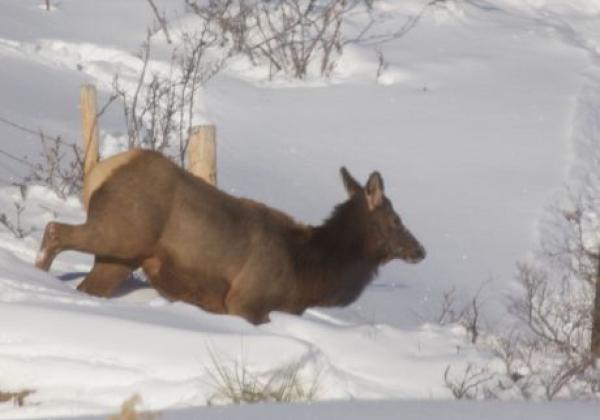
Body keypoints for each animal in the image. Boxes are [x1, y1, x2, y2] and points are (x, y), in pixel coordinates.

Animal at [35, 151, 426, 324]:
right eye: (395, 219)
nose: (420, 249)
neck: (306, 273)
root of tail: (100, 170)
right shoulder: (248, 300)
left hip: (121, 259)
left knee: (88, 284)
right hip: (121, 232)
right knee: (54, 230)